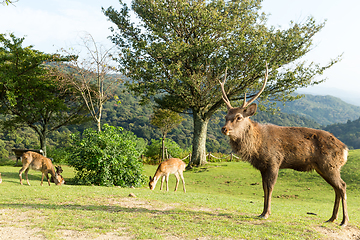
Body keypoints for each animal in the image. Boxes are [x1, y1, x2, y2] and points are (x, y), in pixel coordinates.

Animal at [219, 62, 348, 226]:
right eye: (225, 116)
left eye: (239, 117)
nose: (224, 129)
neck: (257, 147)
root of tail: (345, 149)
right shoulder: (263, 167)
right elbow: (264, 188)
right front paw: (261, 212)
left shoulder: (274, 161)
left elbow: (270, 187)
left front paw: (266, 213)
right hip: (324, 167)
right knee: (336, 188)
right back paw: (332, 218)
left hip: (330, 165)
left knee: (342, 186)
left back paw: (344, 221)